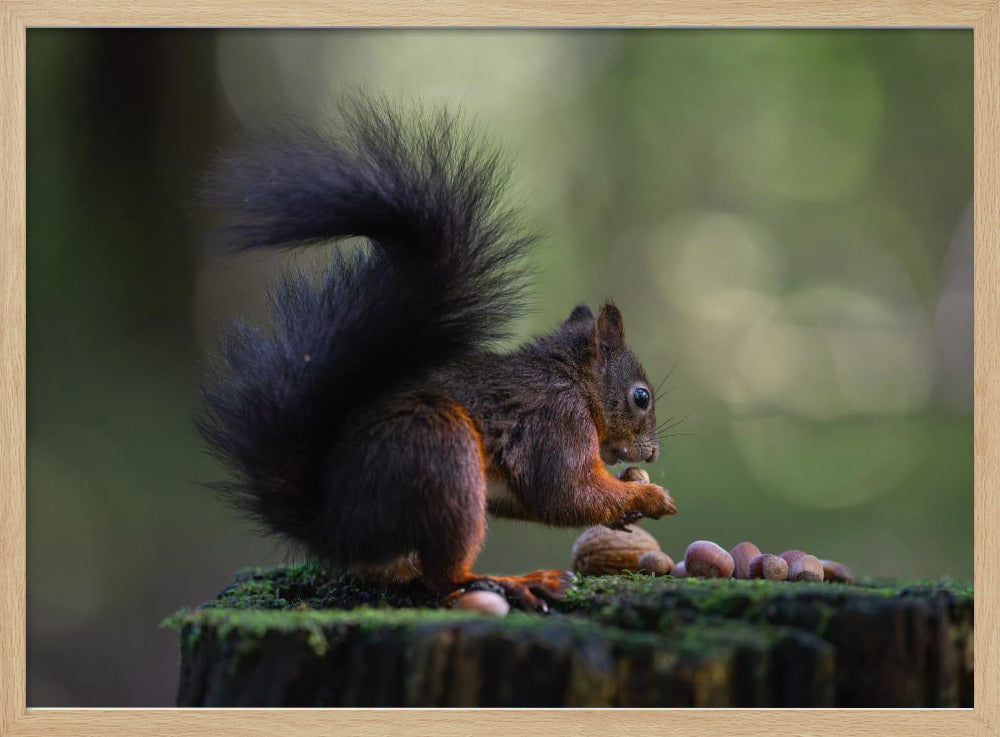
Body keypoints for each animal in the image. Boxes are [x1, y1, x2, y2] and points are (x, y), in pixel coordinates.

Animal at [198, 96, 676, 612]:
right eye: (641, 397)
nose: (652, 454)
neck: (573, 382)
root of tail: (335, 526)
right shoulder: (556, 421)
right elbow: (565, 492)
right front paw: (647, 498)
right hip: (439, 454)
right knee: (445, 576)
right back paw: (511, 582)